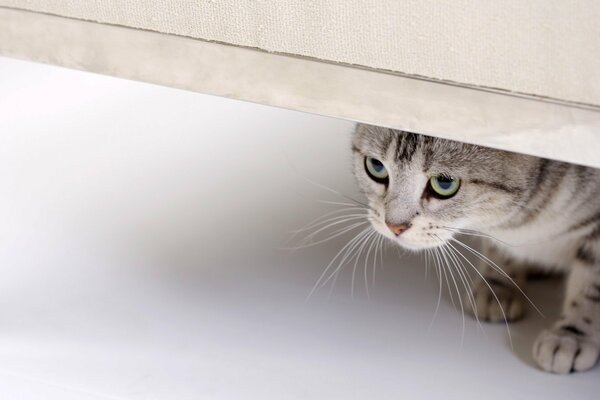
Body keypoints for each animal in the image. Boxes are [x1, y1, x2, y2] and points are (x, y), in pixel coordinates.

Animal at [352, 123, 600, 374]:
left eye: (444, 183)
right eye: (376, 167)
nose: (394, 226)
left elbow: (591, 288)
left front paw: (573, 335)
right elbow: (500, 250)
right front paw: (498, 286)